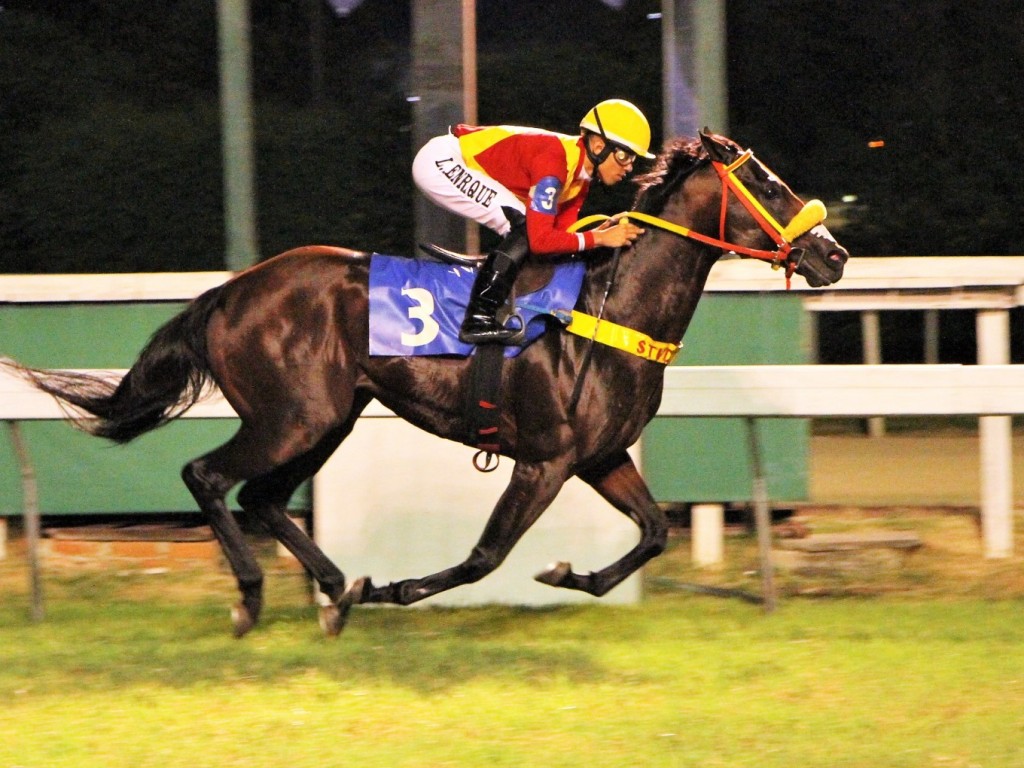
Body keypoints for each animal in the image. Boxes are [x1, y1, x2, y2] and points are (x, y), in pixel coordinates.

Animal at [0, 132, 847, 638]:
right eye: (766, 182)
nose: (834, 255)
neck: (608, 305)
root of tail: (233, 289)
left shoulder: (601, 456)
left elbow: (653, 535)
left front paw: (569, 572)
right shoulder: (546, 459)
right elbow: (484, 556)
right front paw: (399, 591)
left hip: (330, 416)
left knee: (264, 497)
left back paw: (336, 591)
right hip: (293, 417)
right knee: (206, 475)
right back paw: (254, 596)